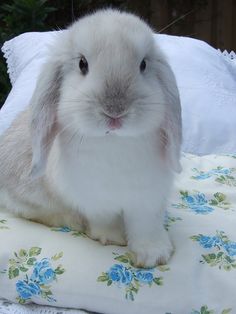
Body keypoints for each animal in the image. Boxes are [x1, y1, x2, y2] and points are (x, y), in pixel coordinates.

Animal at [0, 9, 182, 268]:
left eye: (143, 64)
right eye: (82, 64)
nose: (115, 111)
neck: (114, 142)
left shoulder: (147, 200)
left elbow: (146, 226)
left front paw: (153, 256)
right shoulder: (96, 202)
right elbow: (105, 221)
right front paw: (112, 238)